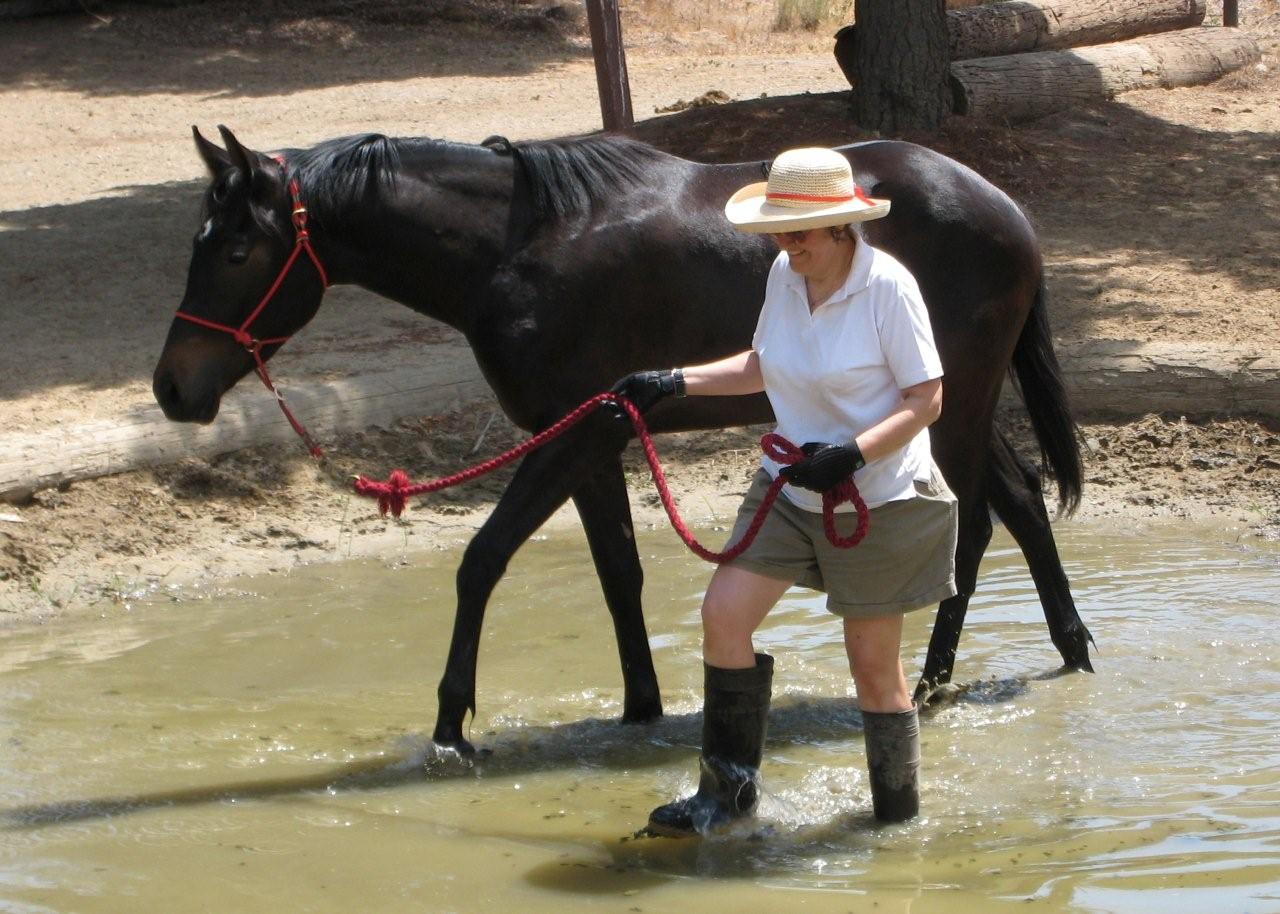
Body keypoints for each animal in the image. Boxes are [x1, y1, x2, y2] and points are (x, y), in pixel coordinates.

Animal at [149, 128, 1090, 752]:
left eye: (237, 250)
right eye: (201, 242)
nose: (171, 387)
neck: (515, 248)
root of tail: (1005, 209)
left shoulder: (569, 436)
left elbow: (482, 560)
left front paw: (451, 722)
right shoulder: (594, 438)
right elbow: (617, 575)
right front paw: (640, 708)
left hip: (949, 408)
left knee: (973, 524)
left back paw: (935, 680)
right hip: (951, 409)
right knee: (1019, 503)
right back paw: (1066, 651)